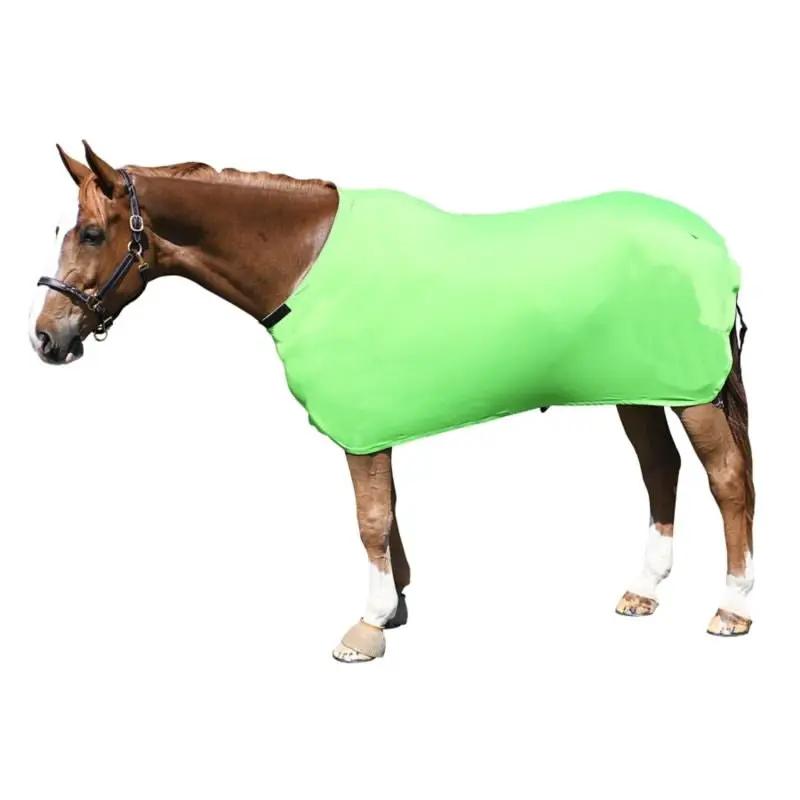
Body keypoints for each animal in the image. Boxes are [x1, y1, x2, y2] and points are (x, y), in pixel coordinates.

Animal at [30, 142, 755, 661]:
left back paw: (733, 607)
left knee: (727, 481)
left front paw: (368, 624)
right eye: (67, 229)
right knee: (661, 470)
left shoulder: (360, 427)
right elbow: (389, 512)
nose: (45, 338)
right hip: (639, 389)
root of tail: (715, 249)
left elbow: (370, 518)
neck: (307, 263)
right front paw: (397, 606)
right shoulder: (373, 424)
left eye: (91, 234)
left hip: (691, 396)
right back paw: (642, 592)